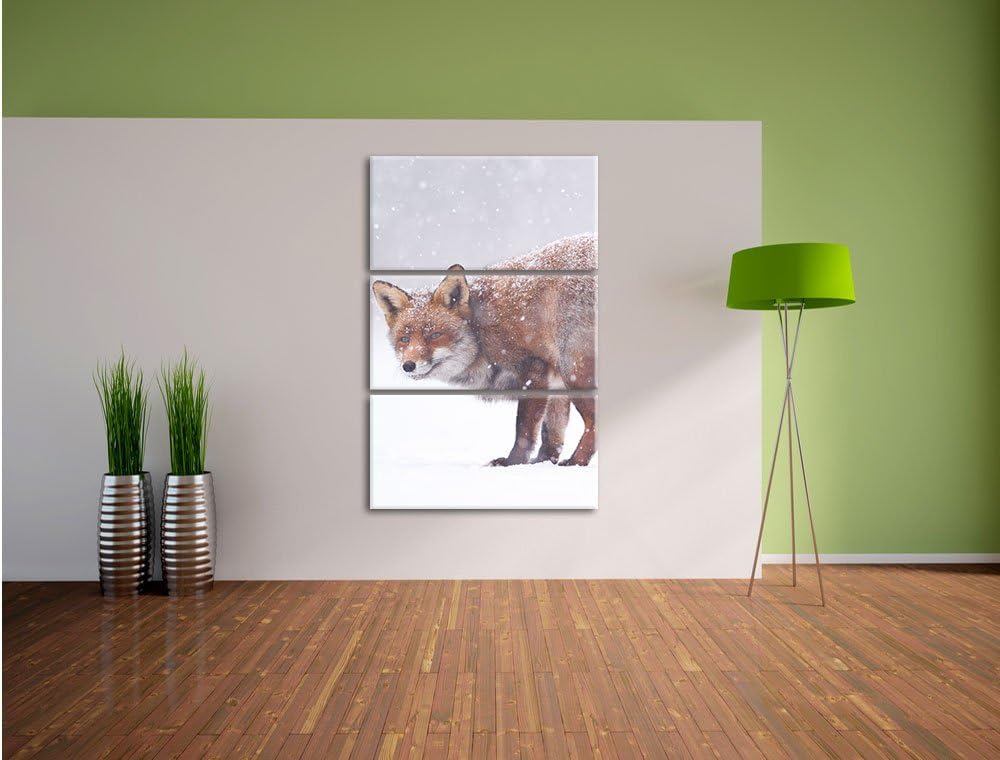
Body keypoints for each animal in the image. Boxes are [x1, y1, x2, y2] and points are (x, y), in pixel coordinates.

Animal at [372, 234, 596, 467]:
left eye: (434, 335)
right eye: (404, 339)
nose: (408, 365)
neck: (480, 330)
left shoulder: (532, 371)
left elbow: (524, 429)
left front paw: (513, 463)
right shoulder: (553, 383)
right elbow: (551, 431)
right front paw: (542, 462)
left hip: (573, 371)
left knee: (594, 422)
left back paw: (577, 462)